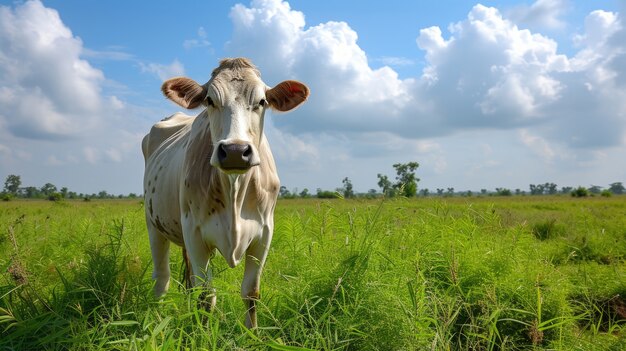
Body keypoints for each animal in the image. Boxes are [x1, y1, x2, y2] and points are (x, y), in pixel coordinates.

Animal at [140, 57, 308, 330]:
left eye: (262, 101)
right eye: (209, 100)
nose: (235, 151)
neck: (235, 192)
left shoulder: (264, 234)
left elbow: (251, 292)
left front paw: (252, 332)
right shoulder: (195, 233)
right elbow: (207, 295)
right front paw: (203, 332)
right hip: (153, 223)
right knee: (162, 278)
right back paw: (155, 317)